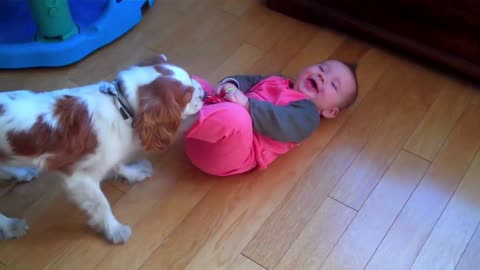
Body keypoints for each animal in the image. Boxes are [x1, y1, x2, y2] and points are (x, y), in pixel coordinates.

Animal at [0, 53, 204, 244]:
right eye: (187, 95)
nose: (203, 94)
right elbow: (101, 204)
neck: (120, 104)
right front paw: (114, 230)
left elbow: (118, 165)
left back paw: (21, 173)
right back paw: (10, 226)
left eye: (190, 78)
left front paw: (134, 173)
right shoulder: (79, 179)